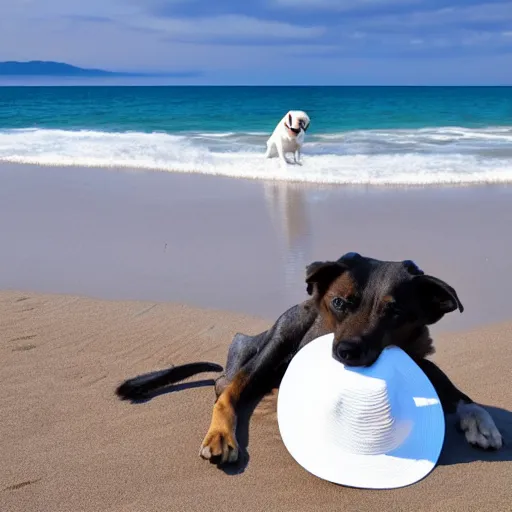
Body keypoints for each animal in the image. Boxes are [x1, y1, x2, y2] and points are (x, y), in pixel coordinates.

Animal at [114, 252, 502, 464]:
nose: (346, 352)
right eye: (339, 303)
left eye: (395, 312)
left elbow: (452, 388)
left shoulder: (420, 358)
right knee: (228, 387)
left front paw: (478, 419)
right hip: (283, 332)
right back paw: (222, 432)